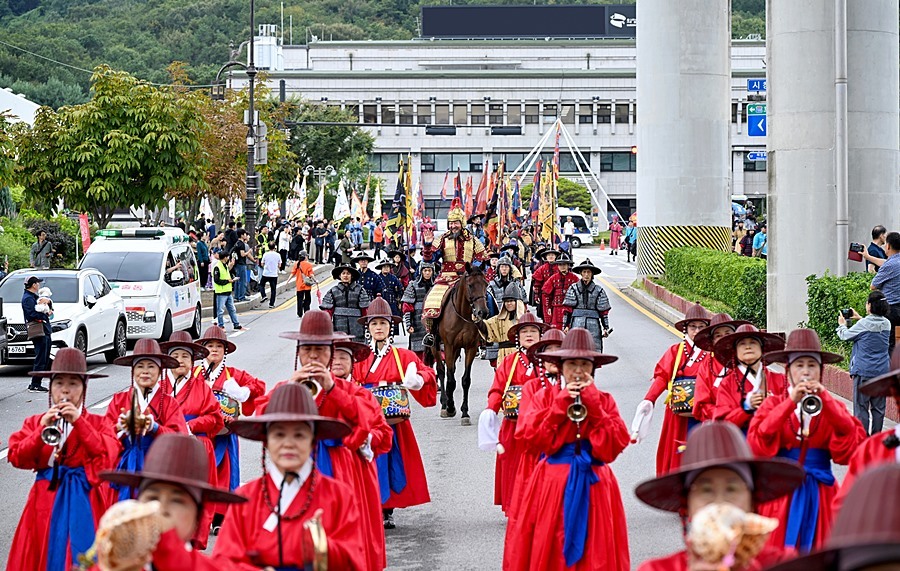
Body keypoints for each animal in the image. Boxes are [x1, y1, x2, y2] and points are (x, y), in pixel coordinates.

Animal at [428, 269, 490, 426]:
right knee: (441, 370)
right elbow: (450, 379)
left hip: (456, 350)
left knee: (451, 370)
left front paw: (465, 413)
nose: (483, 312)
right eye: (470, 285)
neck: (462, 314)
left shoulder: (470, 347)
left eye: (486, 284)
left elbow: (465, 380)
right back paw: (445, 404)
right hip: (436, 346)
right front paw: (450, 407)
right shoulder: (449, 346)